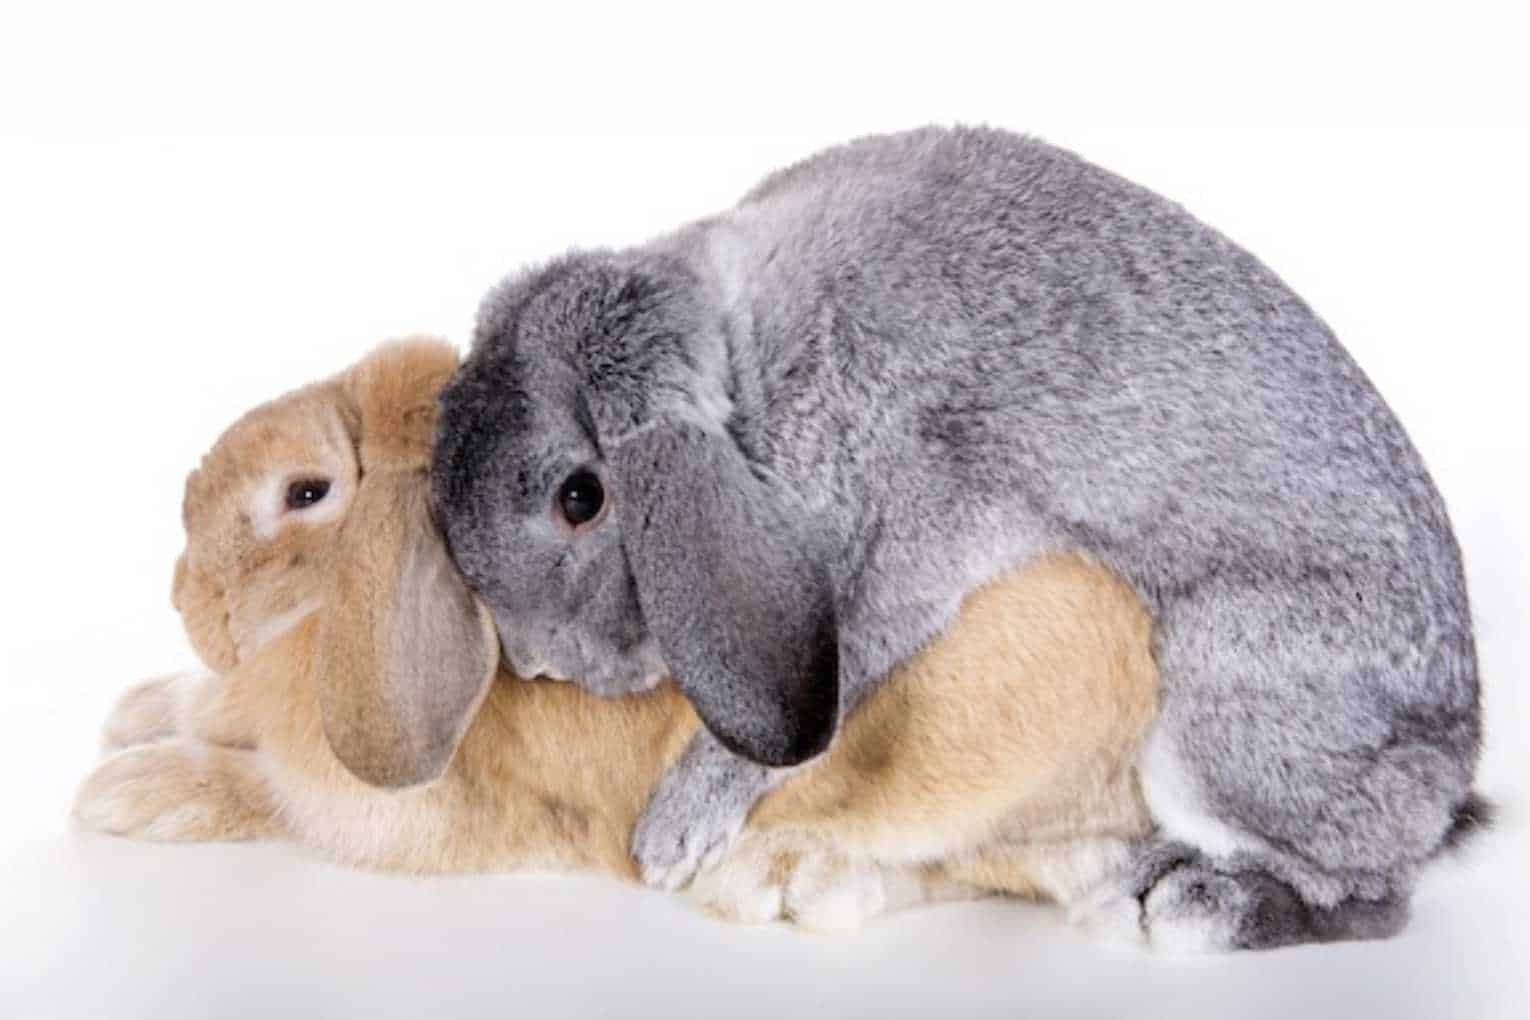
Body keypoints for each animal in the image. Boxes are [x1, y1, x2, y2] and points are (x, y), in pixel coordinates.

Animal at [68, 341, 1150, 935]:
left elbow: (265, 794)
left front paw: (123, 791)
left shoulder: (395, 812)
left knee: (984, 859)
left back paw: (788, 880)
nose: (186, 603)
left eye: (304, 492)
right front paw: (140, 710)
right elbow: (217, 714)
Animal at [419, 125, 1481, 948]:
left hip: (1220, 715)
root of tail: (1449, 773)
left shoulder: (908, 533)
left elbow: (821, 699)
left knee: (1366, 895)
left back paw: (1185, 904)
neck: (751, 369)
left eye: (582, 497)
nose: (539, 662)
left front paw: (673, 834)